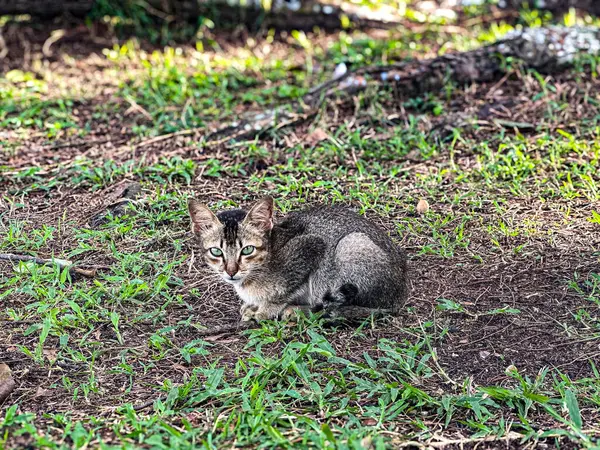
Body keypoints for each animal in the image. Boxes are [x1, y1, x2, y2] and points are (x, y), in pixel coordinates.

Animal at [189, 195, 408, 322]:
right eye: (216, 252)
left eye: (247, 250)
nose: (231, 271)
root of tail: (400, 295)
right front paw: (253, 306)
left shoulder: (311, 246)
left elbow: (284, 291)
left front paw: (266, 310)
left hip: (351, 244)